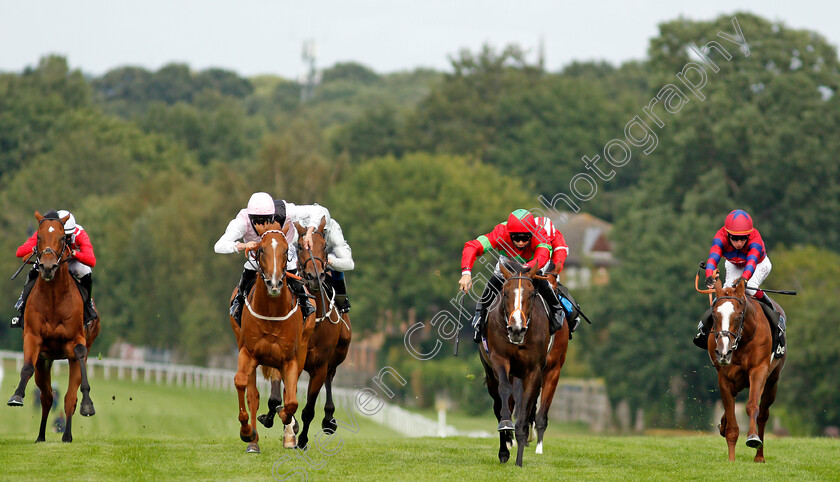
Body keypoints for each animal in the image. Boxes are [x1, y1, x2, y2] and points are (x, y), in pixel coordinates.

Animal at [6, 211, 99, 440]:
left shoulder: (76, 340)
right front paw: (16, 396)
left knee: (69, 398)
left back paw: (67, 436)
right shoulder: (33, 337)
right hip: (44, 361)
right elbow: (27, 368)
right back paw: (41, 436)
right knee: (47, 397)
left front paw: (88, 404)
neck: (54, 297)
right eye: (38, 237)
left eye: (62, 237)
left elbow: (80, 352)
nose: (47, 267)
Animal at [230, 220, 316, 454]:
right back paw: (253, 440)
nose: (274, 283)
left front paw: (288, 423)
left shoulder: (289, 359)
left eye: (286, 251)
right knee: (253, 394)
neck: (271, 312)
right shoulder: (248, 352)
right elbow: (242, 384)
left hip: (302, 349)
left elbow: (291, 401)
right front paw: (247, 432)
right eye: (260, 249)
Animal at [256, 220, 352, 450]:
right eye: (299, 247)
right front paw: (281, 422)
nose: (314, 276)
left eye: (324, 247)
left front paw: (302, 440)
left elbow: (308, 409)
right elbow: (280, 398)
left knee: (330, 376)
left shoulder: (319, 366)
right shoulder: (286, 359)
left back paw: (329, 419)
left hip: (340, 351)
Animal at [480, 260, 552, 466]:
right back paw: (504, 450)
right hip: (491, 374)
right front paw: (506, 427)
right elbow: (504, 392)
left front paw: (519, 460)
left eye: (532, 294)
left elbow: (525, 408)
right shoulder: (499, 360)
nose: (516, 329)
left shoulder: (534, 371)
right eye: (505, 293)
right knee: (499, 403)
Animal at [700, 276, 784, 462]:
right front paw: (731, 459)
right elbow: (731, 420)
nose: (723, 351)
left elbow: (752, 405)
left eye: (739, 316)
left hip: (772, 382)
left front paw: (752, 438)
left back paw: (759, 456)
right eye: (715, 315)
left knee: (763, 415)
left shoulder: (758, 370)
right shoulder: (724, 377)